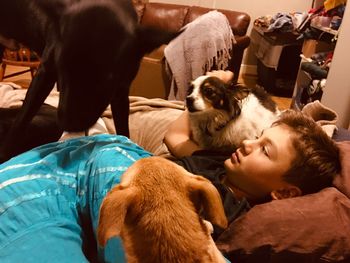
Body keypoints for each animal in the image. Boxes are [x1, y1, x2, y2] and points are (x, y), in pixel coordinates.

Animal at [0, 0, 180, 163]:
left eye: (107, 79)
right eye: (62, 69)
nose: (69, 125)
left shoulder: (121, 90)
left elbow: (123, 127)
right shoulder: (45, 73)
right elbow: (21, 121)